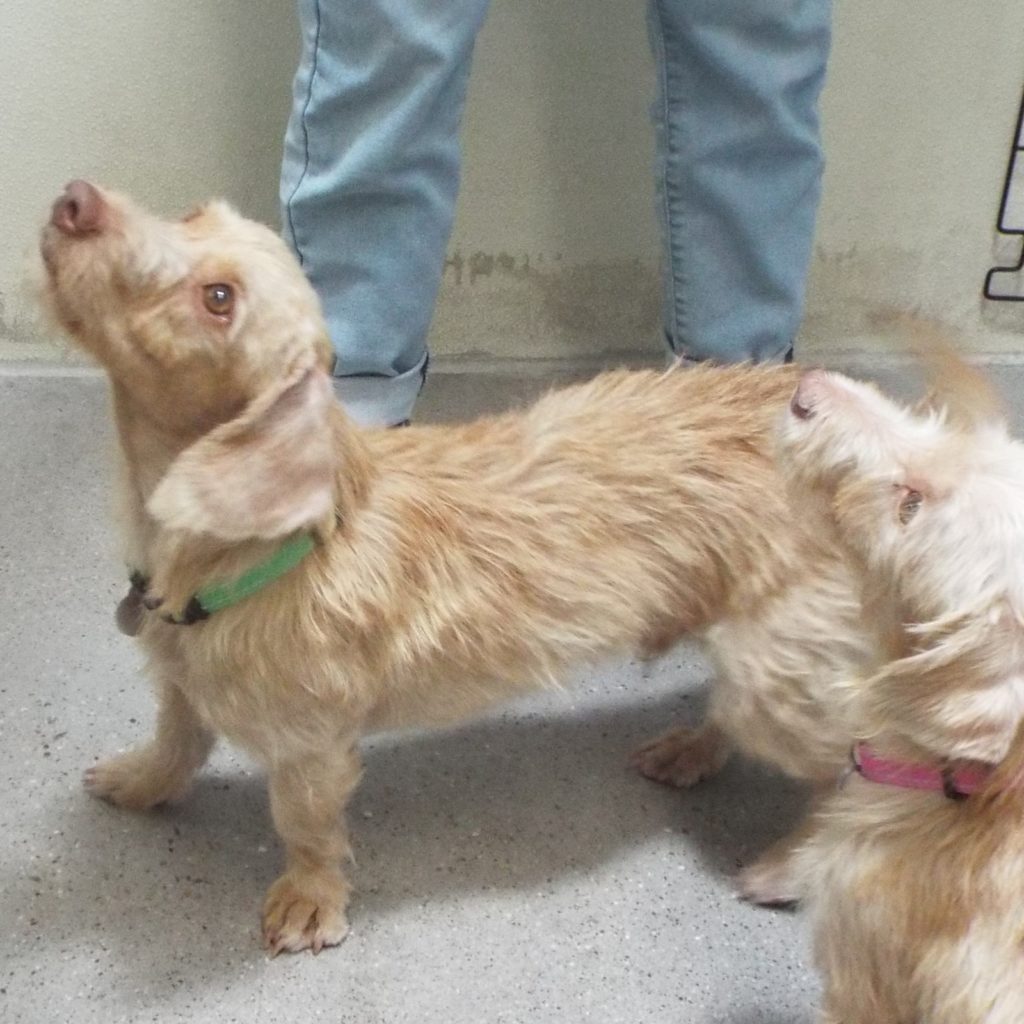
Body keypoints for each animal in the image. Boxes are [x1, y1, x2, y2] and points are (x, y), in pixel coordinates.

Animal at [40, 180, 874, 954]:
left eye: (220, 300)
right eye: (191, 215)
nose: (76, 199)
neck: (236, 543)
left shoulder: (312, 742)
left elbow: (305, 823)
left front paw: (309, 898)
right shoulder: (179, 679)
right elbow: (176, 738)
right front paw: (141, 781)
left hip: (777, 677)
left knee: (851, 774)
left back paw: (792, 863)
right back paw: (693, 748)